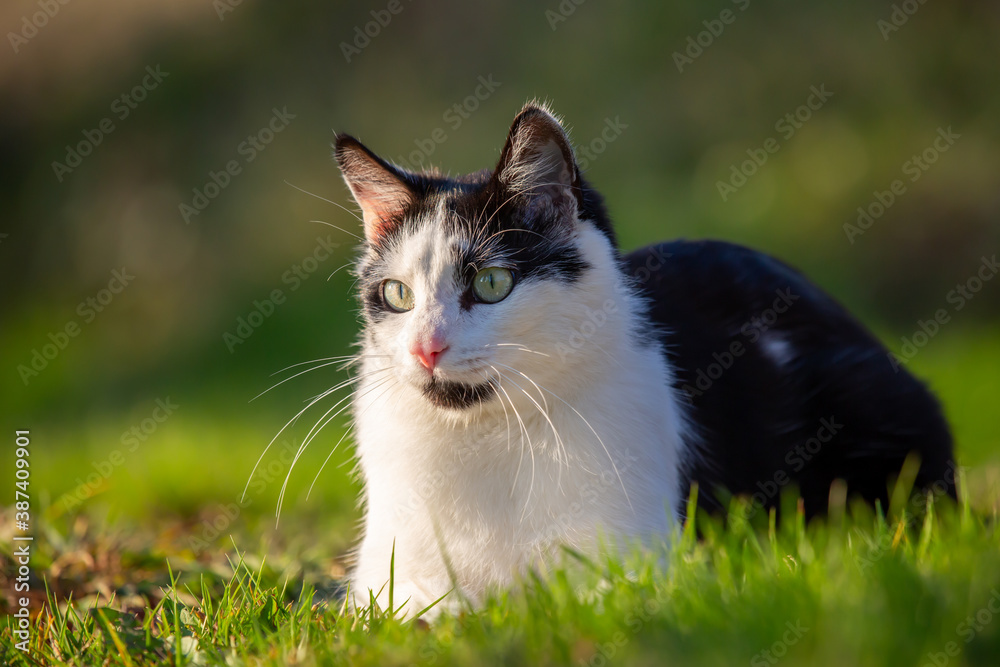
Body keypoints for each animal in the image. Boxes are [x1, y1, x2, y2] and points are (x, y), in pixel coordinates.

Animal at [332, 100, 956, 616]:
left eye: (491, 283)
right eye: (397, 294)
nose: (425, 347)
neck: (486, 439)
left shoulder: (634, 558)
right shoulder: (385, 580)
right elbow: (414, 610)